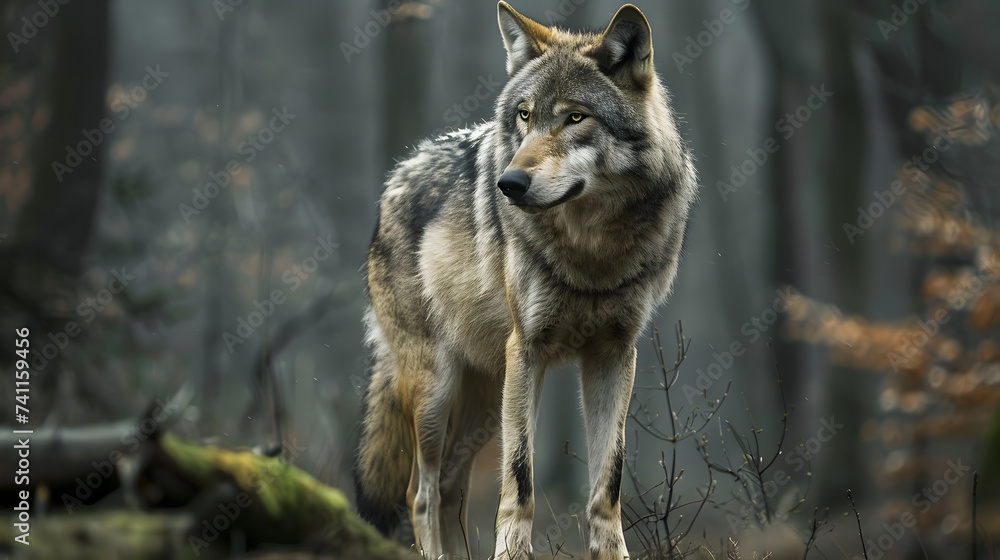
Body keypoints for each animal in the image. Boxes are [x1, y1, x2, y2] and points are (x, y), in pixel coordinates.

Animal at [355, 3, 697, 559]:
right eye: (524, 115)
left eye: (575, 116)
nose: (508, 184)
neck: (592, 251)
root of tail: (397, 175)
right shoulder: (528, 349)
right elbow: (520, 477)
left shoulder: (615, 354)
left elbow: (608, 481)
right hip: (439, 390)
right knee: (420, 494)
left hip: (484, 398)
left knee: (449, 491)